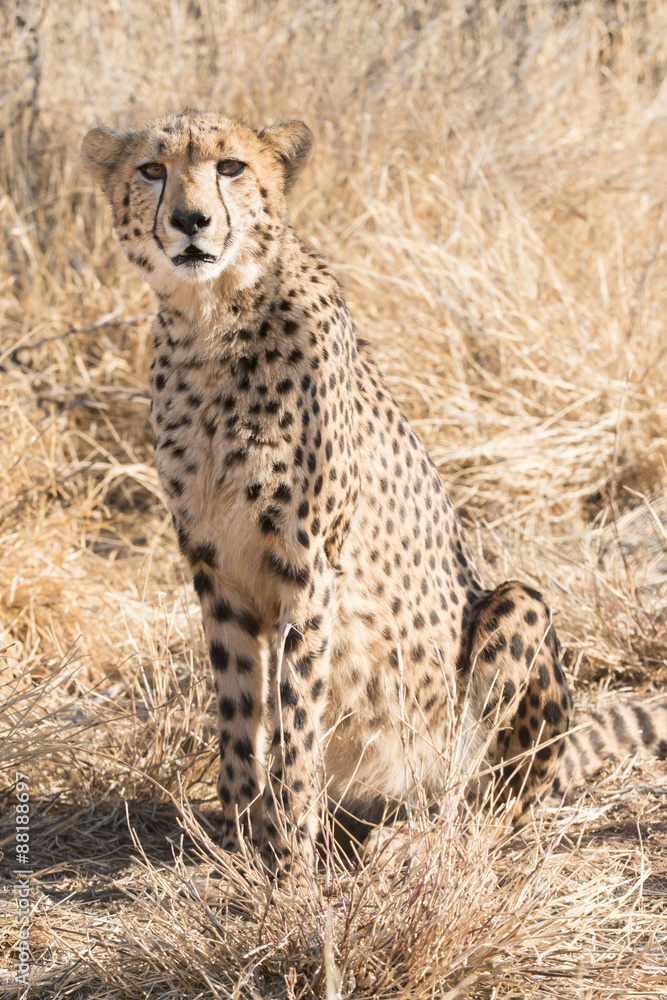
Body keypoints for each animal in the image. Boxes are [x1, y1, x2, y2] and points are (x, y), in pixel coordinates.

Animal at [82, 109, 667, 872]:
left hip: (518, 609)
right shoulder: (217, 573)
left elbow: (295, 721)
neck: (213, 322)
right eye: (152, 170)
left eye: (231, 166)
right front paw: (240, 844)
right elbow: (240, 717)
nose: (190, 220)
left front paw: (286, 862)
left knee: (482, 799)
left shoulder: (308, 571)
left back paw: (419, 839)